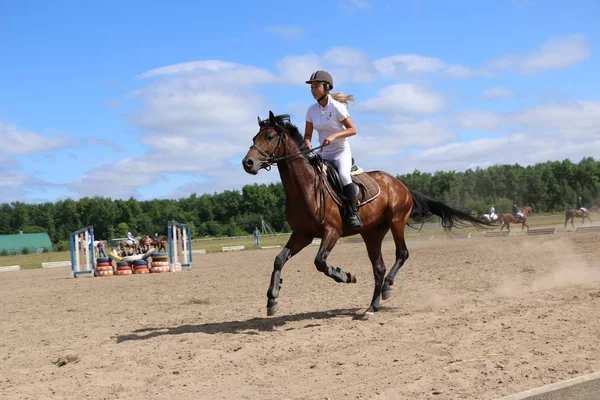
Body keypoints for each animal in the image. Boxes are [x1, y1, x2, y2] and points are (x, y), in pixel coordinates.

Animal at [241, 111, 494, 316]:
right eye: (254, 138)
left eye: (269, 137)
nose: (248, 163)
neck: (305, 187)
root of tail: (401, 184)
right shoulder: (302, 234)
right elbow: (279, 259)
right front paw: (272, 299)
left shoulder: (331, 231)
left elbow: (320, 262)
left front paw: (346, 276)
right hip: (372, 233)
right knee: (378, 268)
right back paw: (373, 305)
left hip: (396, 220)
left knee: (402, 254)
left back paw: (387, 288)